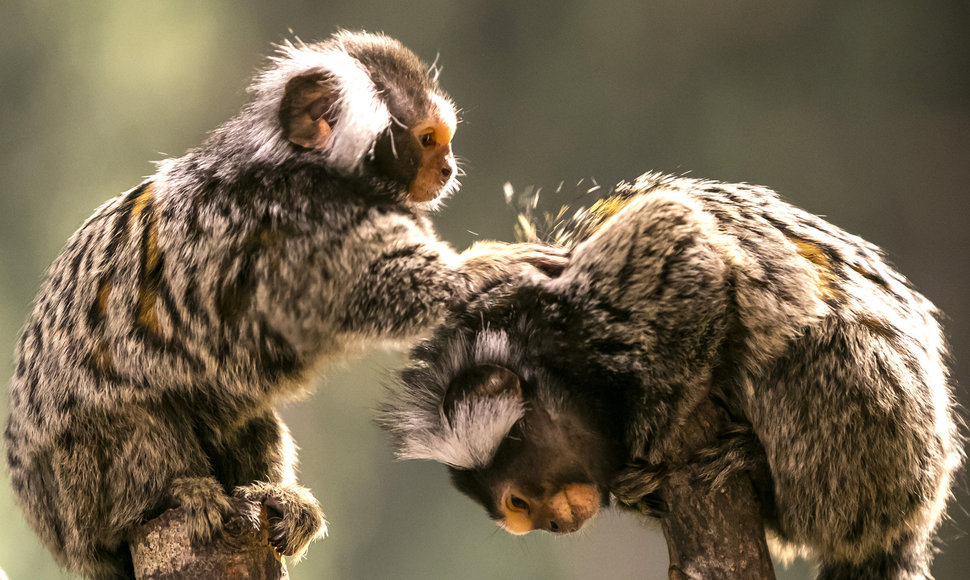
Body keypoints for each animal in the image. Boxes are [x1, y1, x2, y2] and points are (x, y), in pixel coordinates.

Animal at [3, 31, 560, 580]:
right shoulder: (290, 227)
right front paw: (486, 269)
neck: (305, 169)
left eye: (446, 142)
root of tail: (54, 532)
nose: (448, 167)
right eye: (427, 139)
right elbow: (372, 288)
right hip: (78, 485)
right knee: (133, 424)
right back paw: (173, 494)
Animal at [384, 172, 960, 580]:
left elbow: (680, 233)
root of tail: (909, 521)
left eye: (518, 503)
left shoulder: (577, 308)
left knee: (816, 351)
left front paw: (649, 437)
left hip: (884, 441)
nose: (552, 524)